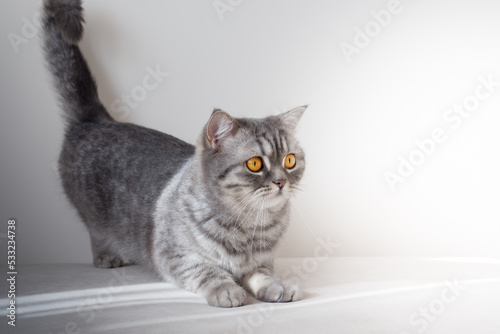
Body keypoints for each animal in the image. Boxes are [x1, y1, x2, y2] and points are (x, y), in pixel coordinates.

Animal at [43, 0, 306, 308]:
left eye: (289, 160)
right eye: (255, 164)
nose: (281, 181)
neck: (250, 224)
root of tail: (97, 119)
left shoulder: (262, 261)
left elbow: (262, 274)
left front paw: (276, 285)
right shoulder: (175, 256)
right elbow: (208, 271)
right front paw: (226, 288)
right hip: (93, 215)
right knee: (96, 234)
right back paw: (108, 255)